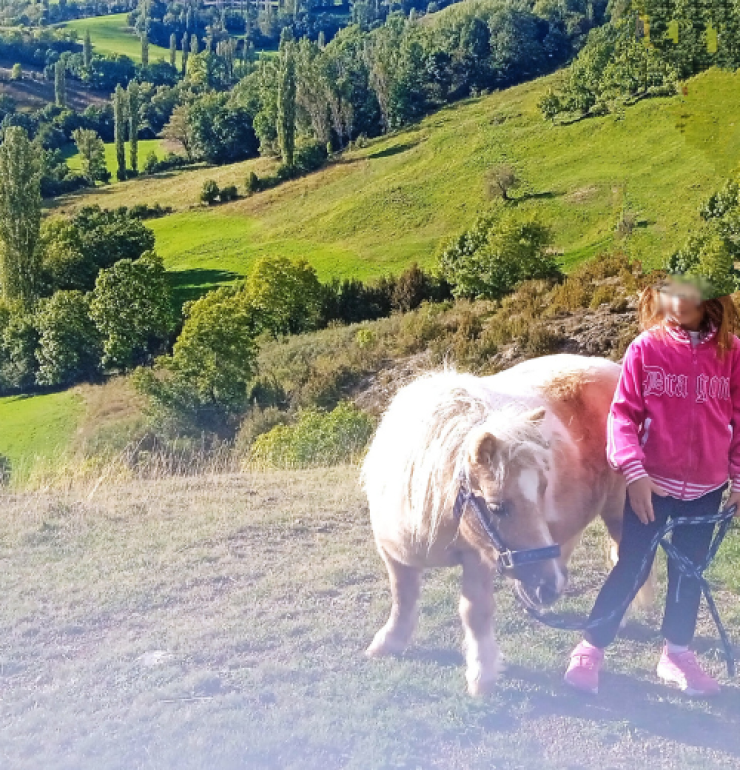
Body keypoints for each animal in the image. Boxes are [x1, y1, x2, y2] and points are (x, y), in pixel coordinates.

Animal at [362, 354, 628, 696]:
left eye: (541, 489)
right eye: (497, 507)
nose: (548, 588)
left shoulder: (479, 558)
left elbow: (475, 611)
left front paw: (482, 675)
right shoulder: (394, 554)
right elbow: (402, 596)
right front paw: (388, 642)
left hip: (620, 510)